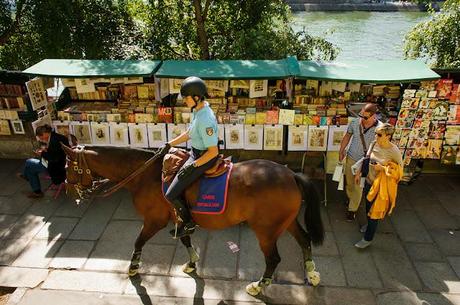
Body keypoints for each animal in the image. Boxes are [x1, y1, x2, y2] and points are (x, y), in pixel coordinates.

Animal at [62, 145, 324, 294]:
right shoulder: (179, 216)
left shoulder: (154, 220)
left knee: (273, 259)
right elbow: (185, 238)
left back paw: (259, 286)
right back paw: (312, 274)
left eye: (68, 167)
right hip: (286, 222)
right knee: (305, 240)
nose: (70, 192)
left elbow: (138, 242)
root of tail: (291, 174)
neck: (145, 174)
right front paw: (192, 261)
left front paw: (134, 267)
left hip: (266, 231)